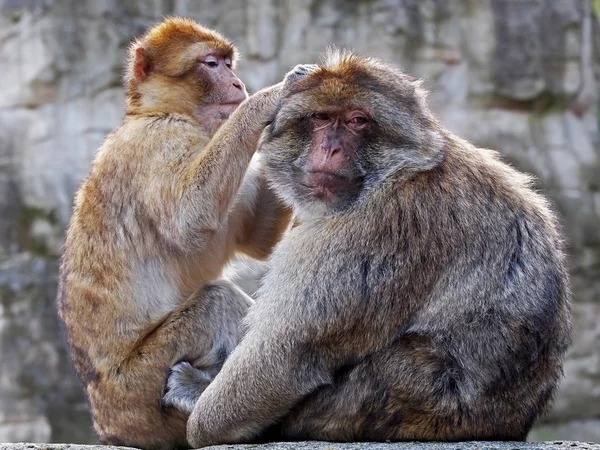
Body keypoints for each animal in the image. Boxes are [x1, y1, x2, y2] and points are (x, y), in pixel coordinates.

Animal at [56, 18, 290, 450]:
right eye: (211, 64)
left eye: (228, 63)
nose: (238, 83)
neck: (161, 110)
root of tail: (108, 424)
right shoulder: (160, 141)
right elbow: (189, 218)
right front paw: (269, 99)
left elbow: (259, 238)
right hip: (141, 388)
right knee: (217, 301)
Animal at [163, 53, 572, 446]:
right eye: (321, 117)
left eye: (357, 121)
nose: (330, 147)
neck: (396, 173)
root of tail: (510, 422)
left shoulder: (373, 229)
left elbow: (287, 352)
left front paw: (201, 424)